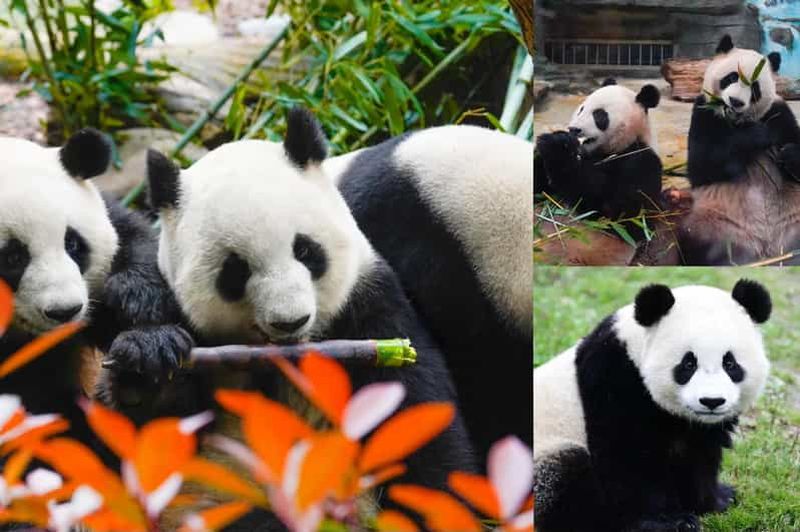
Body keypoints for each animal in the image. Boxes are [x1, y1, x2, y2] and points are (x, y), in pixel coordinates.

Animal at [97, 108, 476, 508]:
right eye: (236, 271)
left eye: (306, 250)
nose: (290, 321)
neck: (289, 360)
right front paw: (149, 359)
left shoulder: (371, 307)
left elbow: (415, 421)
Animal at [533, 279, 772, 532]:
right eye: (688, 363)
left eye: (730, 363)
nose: (712, 401)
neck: (632, 349)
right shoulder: (613, 381)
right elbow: (629, 459)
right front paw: (669, 521)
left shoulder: (699, 427)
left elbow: (699, 455)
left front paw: (718, 500)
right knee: (564, 473)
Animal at [535, 79, 663, 225]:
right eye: (581, 109)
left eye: (599, 115)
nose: (574, 129)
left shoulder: (640, 162)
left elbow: (617, 212)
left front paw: (557, 146)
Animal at [680, 35, 800, 265]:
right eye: (731, 77)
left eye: (754, 87)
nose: (735, 102)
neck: (737, 121)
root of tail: (766, 248)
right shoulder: (704, 112)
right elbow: (702, 166)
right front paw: (757, 135)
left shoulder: (780, 112)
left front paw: (788, 154)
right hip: (717, 223)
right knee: (695, 240)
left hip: (795, 219)